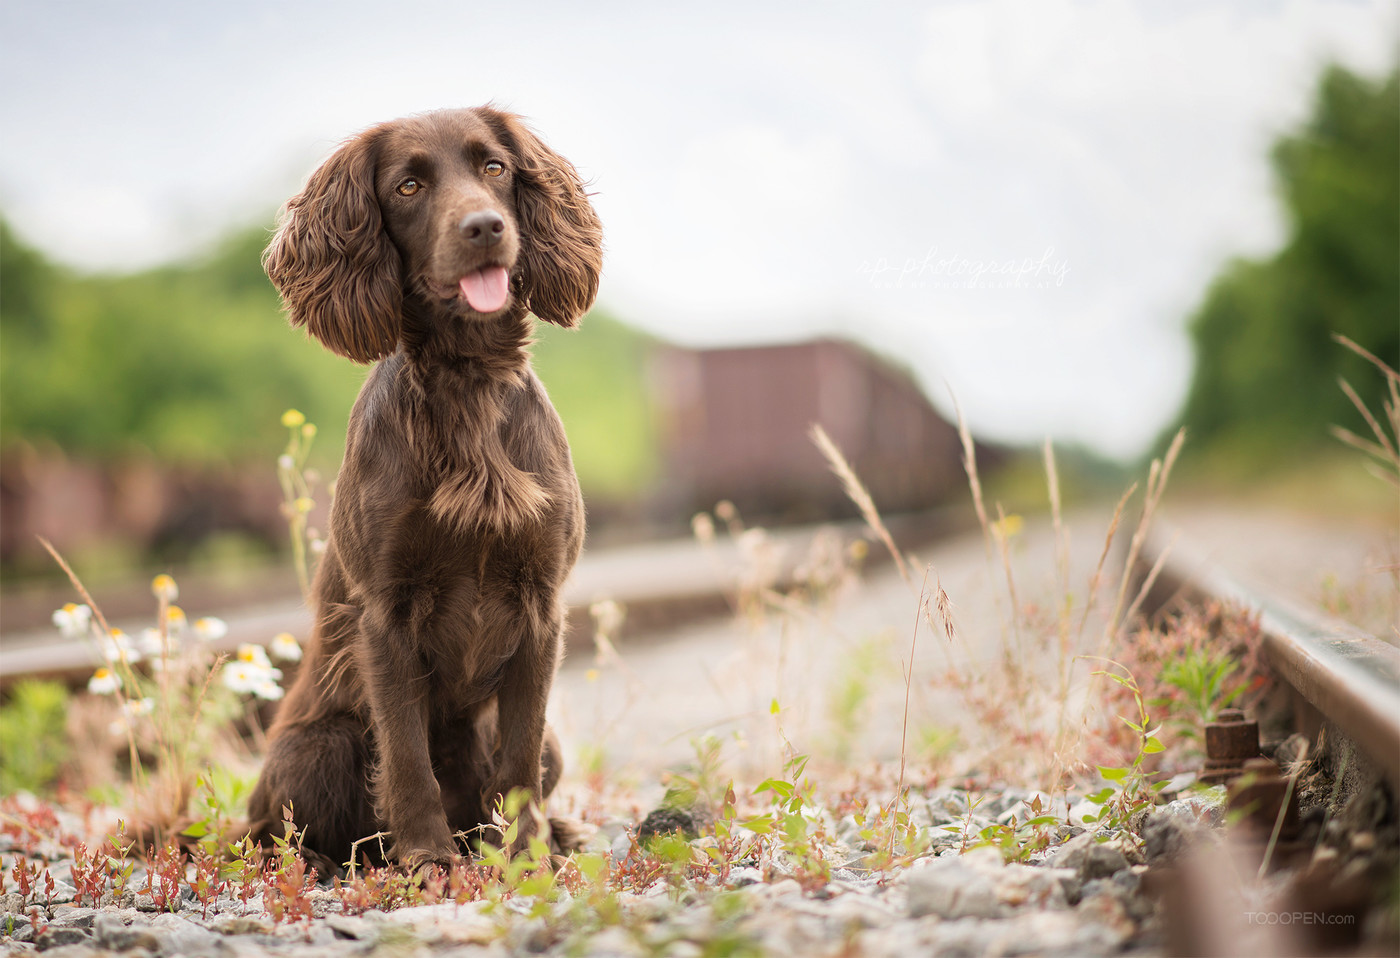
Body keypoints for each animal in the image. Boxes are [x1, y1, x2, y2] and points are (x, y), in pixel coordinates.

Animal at [249, 106, 599, 873]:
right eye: (407, 186)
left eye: (495, 167)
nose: (484, 228)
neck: (466, 378)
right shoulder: (387, 612)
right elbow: (407, 752)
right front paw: (426, 860)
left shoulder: (540, 604)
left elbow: (519, 757)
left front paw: (525, 856)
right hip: (316, 745)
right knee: (271, 831)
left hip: (554, 743)